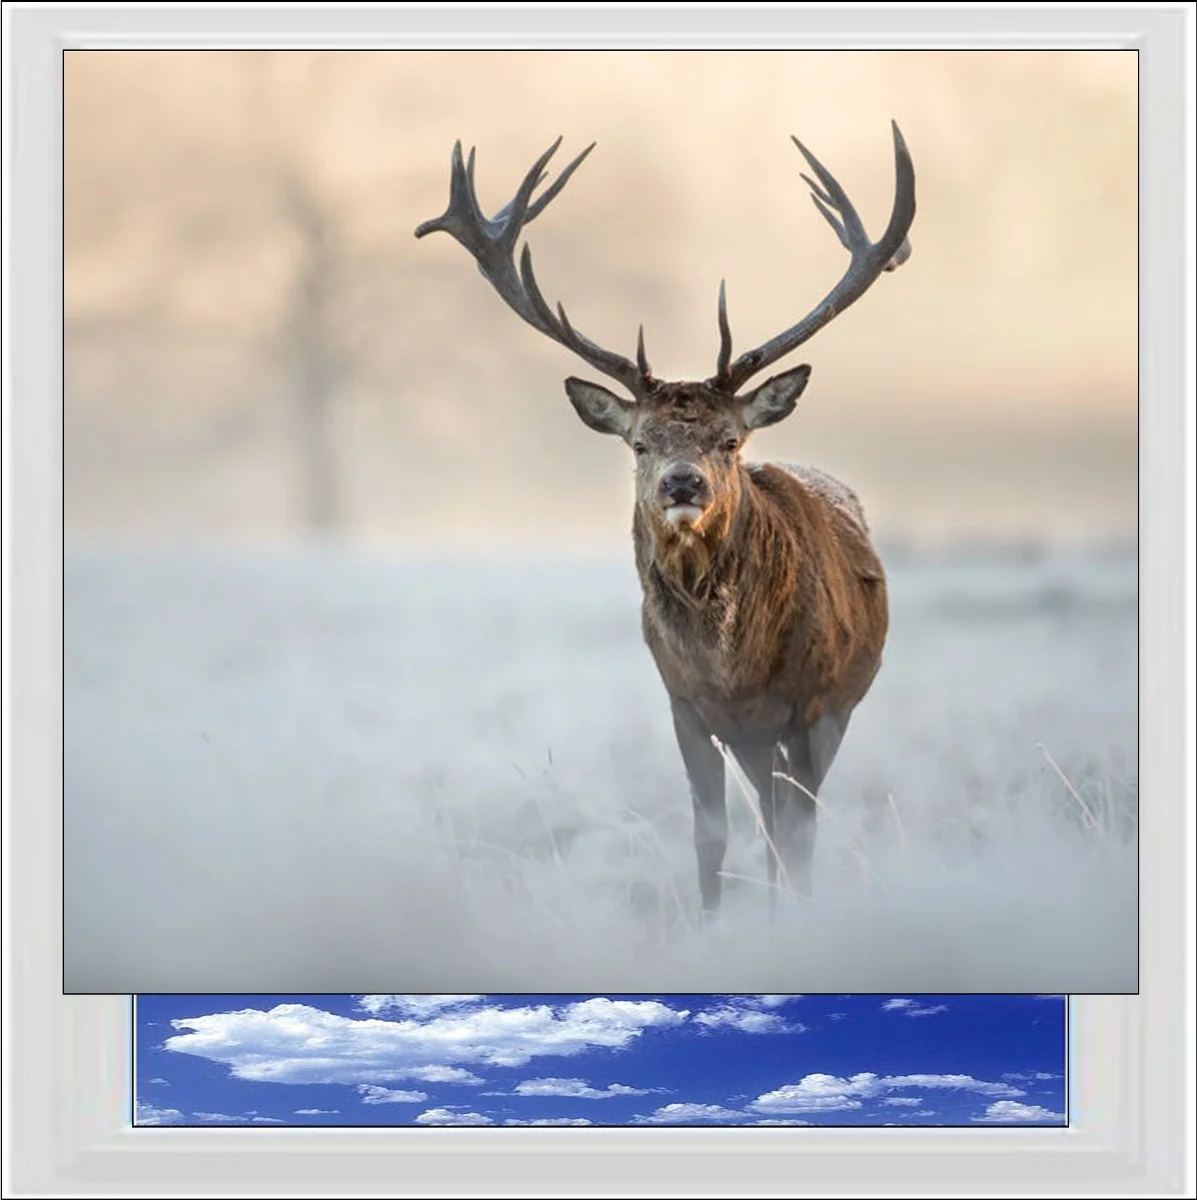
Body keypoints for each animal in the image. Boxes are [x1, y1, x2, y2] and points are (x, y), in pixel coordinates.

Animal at [415, 122, 915, 917]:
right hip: (752, 738)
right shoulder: (684, 703)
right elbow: (710, 833)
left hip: (833, 706)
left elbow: (798, 838)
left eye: (731, 440)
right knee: (765, 817)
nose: (683, 482)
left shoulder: (813, 704)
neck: (735, 669)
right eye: (640, 442)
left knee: (786, 822)